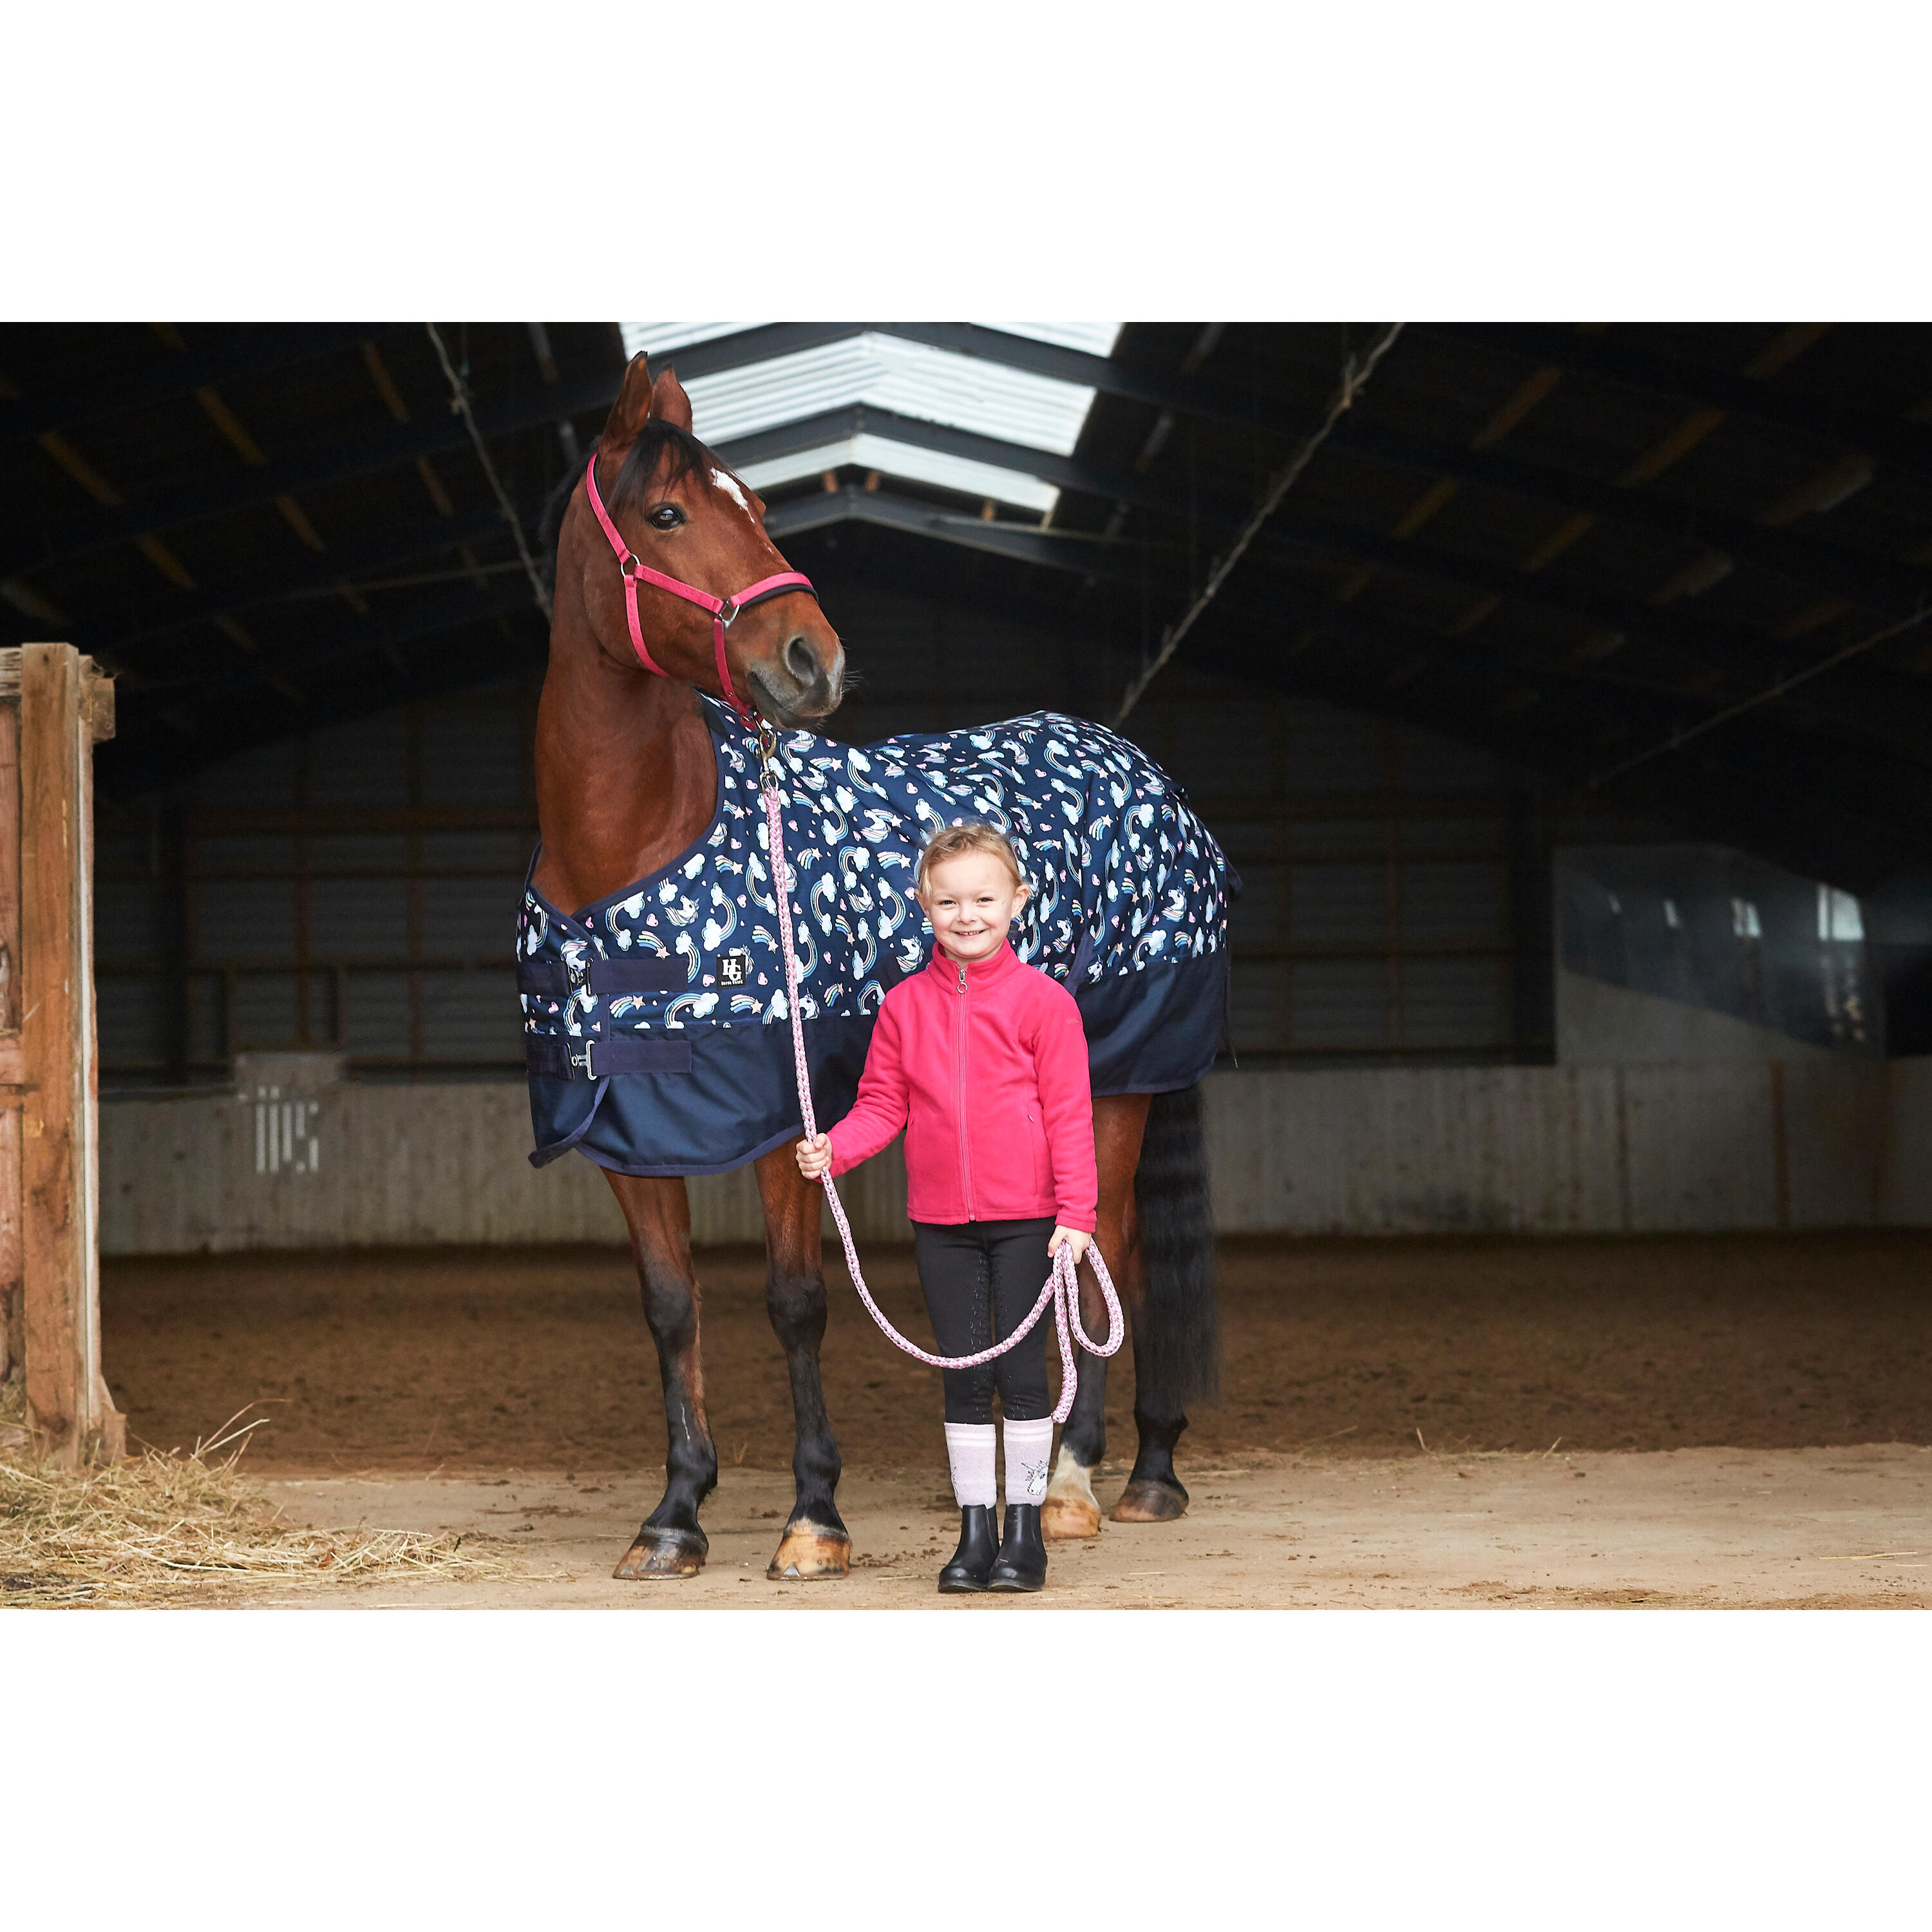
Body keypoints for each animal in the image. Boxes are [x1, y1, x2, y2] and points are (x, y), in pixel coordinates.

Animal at [527, 351, 1222, 1581]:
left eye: (757, 507)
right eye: (668, 515)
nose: (815, 660)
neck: (631, 847)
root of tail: (1139, 769)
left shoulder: (783, 1121)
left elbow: (797, 1301)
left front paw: (814, 1517)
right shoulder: (625, 1132)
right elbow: (670, 1309)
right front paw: (675, 1516)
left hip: (1115, 1080)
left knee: (1101, 1249)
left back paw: (1085, 1479)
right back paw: (1138, 1471)